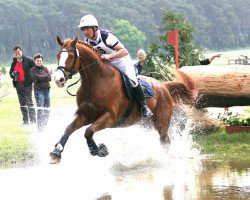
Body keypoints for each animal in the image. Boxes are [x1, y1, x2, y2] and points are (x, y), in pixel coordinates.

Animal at [49, 35, 198, 164]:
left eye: (71, 56)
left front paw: (98, 150)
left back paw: (162, 159)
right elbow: (69, 129)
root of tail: (163, 86)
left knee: (165, 140)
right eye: (57, 56)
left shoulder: (109, 117)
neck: (95, 82)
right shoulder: (85, 115)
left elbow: (88, 132)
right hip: (146, 123)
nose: (58, 80)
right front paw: (56, 152)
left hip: (161, 122)